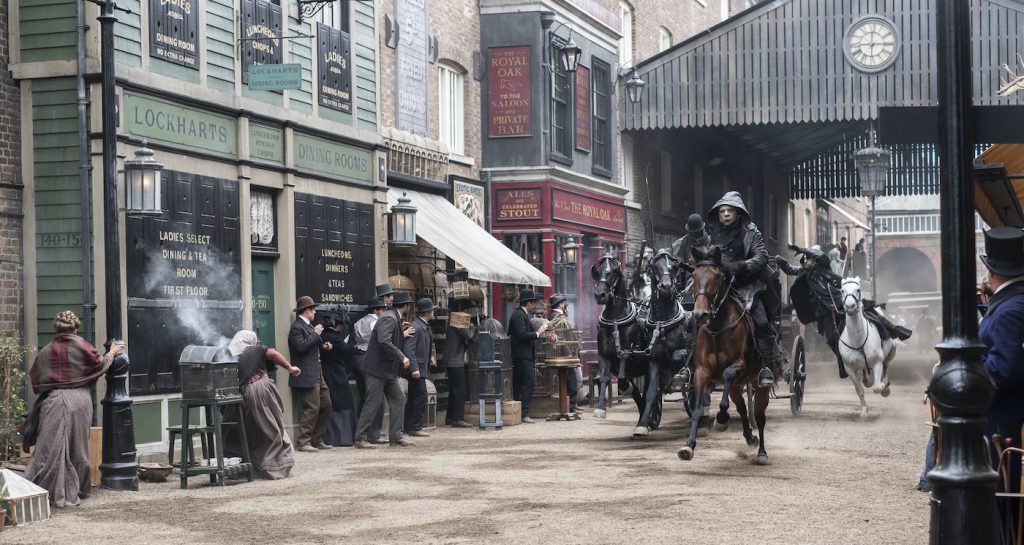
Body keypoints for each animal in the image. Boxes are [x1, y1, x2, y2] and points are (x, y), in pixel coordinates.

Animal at [589, 253, 651, 424]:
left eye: (614, 270)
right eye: (598, 270)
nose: (600, 295)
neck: (615, 321)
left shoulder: (628, 354)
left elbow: (623, 380)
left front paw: (625, 388)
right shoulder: (604, 356)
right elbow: (604, 378)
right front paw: (600, 408)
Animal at [675, 245, 765, 465]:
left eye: (717, 276)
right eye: (693, 275)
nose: (700, 315)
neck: (717, 328)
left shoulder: (738, 365)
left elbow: (726, 377)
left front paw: (722, 418)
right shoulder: (702, 372)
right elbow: (698, 409)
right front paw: (688, 446)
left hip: (757, 382)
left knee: (757, 415)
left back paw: (761, 451)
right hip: (735, 387)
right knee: (742, 408)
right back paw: (750, 437)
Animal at [839, 276, 897, 417]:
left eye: (858, 289)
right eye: (842, 290)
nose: (850, 306)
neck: (857, 339)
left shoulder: (877, 362)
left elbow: (877, 387)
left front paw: (884, 387)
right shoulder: (849, 368)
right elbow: (859, 390)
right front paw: (864, 411)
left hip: (892, 351)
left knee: (886, 365)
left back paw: (884, 383)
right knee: (865, 374)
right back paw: (868, 381)